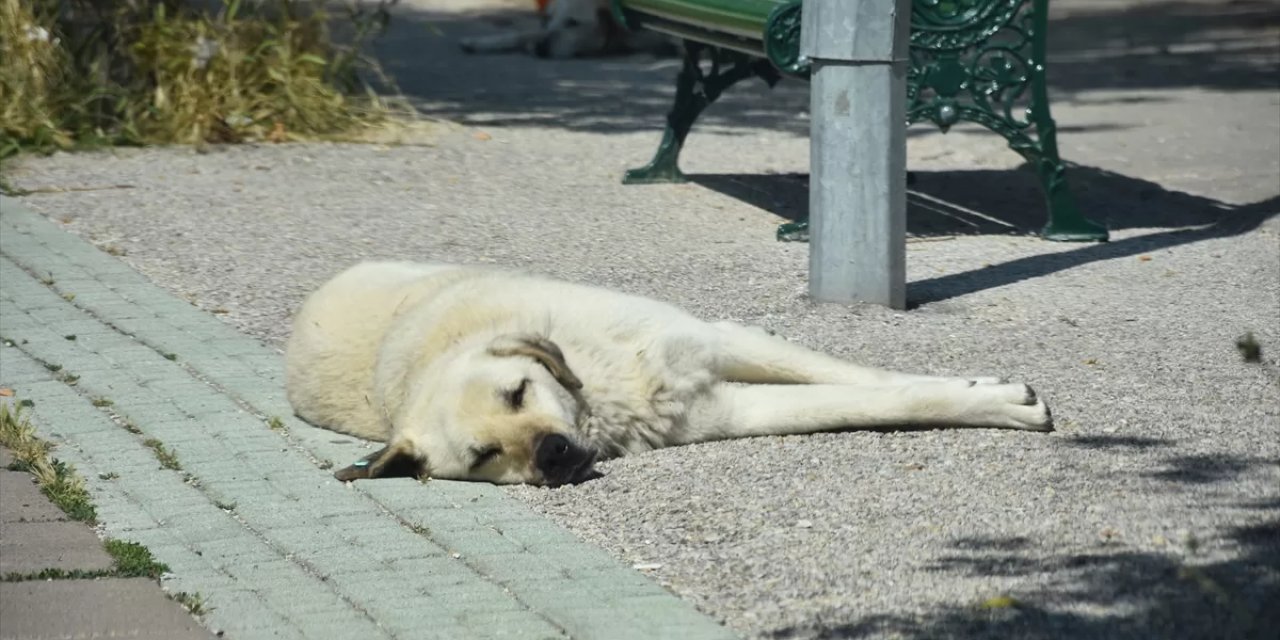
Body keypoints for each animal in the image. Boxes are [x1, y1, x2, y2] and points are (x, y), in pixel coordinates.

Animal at [288, 259, 1049, 483]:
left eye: (518, 390)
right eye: (482, 456)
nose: (554, 455)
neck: (600, 395)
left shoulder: (718, 341)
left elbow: (868, 379)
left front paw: (991, 392)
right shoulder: (730, 409)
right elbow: (874, 402)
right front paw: (993, 403)